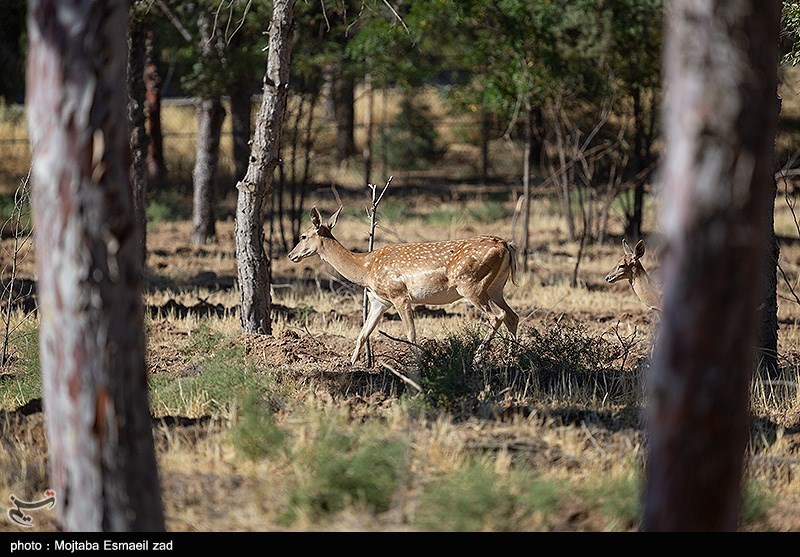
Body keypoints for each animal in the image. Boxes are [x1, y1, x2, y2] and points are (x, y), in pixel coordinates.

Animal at [288, 206, 520, 362]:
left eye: (303, 236)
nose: (291, 255)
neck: (365, 268)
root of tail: (506, 246)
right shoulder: (379, 300)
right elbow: (363, 334)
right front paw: (351, 364)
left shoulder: (399, 294)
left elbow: (410, 333)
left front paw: (418, 364)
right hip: (496, 286)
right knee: (512, 315)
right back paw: (512, 357)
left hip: (470, 284)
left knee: (497, 315)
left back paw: (478, 358)